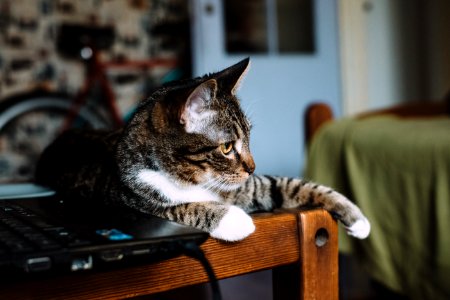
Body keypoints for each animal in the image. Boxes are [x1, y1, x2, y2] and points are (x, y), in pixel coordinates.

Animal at [37, 58, 370, 241]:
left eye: (249, 138)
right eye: (226, 147)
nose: (252, 167)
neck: (196, 180)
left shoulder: (250, 186)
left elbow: (294, 185)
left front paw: (358, 218)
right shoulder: (130, 201)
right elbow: (179, 207)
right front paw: (234, 219)